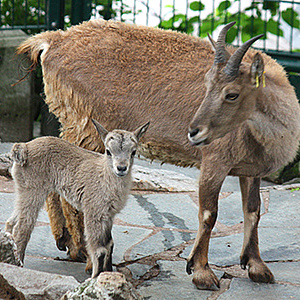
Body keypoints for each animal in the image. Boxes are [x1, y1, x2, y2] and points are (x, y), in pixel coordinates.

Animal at [17, 19, 300, 290]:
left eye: (231, 93)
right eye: (207, 85)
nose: (194, 131)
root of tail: (52, 40)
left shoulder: (250, 170)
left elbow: (253, 210)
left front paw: (257, 267)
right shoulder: (215, 161)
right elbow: (209, 213)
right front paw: (201, 272)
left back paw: (68, 245)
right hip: (86, 127)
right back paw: (85, 255)